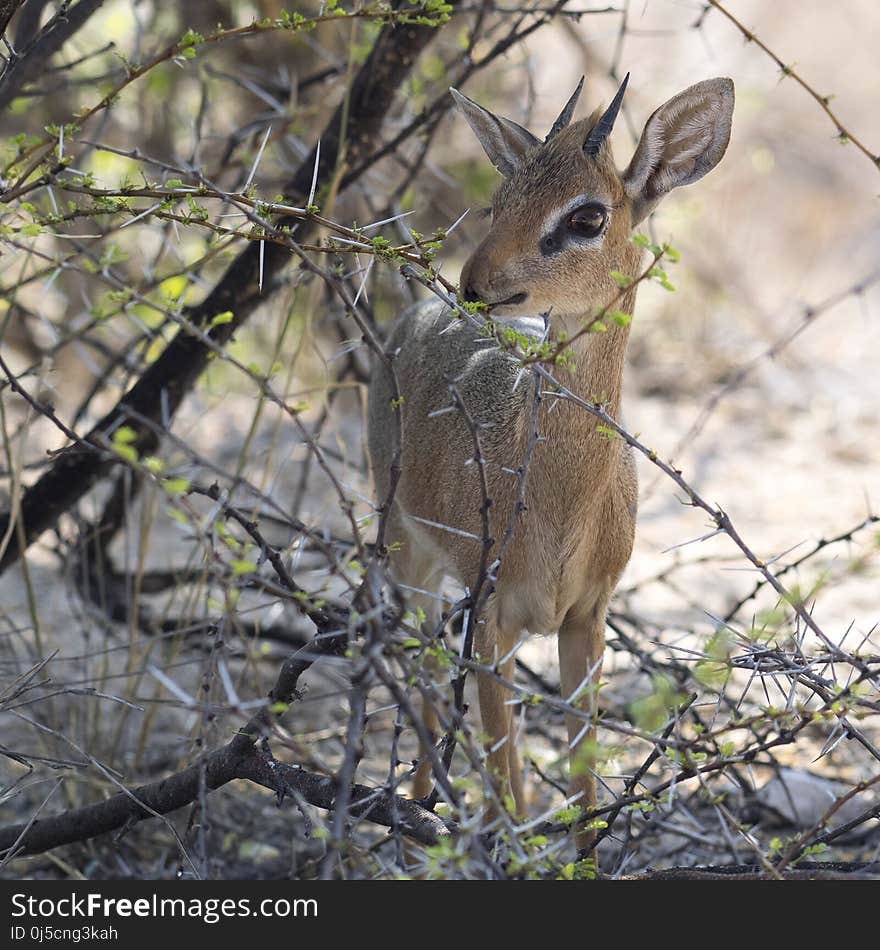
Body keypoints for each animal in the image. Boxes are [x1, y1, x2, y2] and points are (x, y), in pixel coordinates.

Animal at [368, 74, 732, 848]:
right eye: (501, 198)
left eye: (588, 216)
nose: (475, 283)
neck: (563, 503)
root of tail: (412, 317)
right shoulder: (490, 613)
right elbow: (505, 773)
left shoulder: (586, 618)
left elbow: (584, 781)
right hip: (408, 554)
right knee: (421, 668)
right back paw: (416, 807)